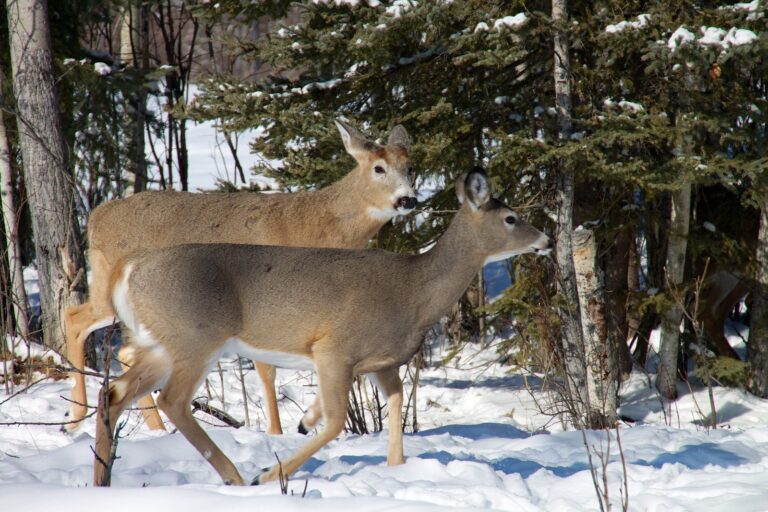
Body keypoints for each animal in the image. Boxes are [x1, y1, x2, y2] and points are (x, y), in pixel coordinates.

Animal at [65, 120, 417, 435]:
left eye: (411, 167)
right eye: (379, 168)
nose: (408, 199)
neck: (318, 227)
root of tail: (96, 216)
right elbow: (267, 369)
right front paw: (276, 432)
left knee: (122, 350)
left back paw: (153, 429)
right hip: (111, 285)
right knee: (75, 318)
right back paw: (75, 420)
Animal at [93, 169, 551, 486]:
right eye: (511, 218)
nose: (546, 240)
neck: (414, 293)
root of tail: (129, 269)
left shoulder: (382, 361)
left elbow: (396, 402)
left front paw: (395, 466)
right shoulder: (335, 348)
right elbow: (334, 422)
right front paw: (271, 471)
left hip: (162, 345)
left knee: (114, 393)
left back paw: (103, 478)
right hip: (194, 337)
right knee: (172, 401)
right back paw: (237, 476)